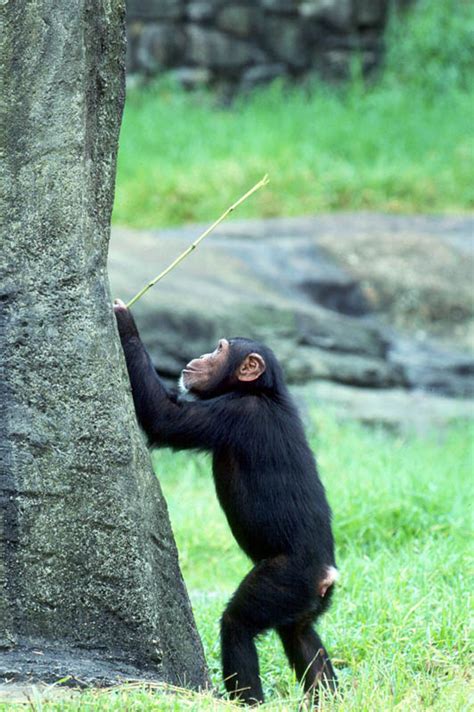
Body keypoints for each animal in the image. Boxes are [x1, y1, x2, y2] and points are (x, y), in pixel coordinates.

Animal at [113, 298, 338, 704]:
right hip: (306, 601)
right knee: (301, 637)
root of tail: (327, 573)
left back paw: (247, 700)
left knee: (238, 625)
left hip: (285, 580)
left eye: (219, 349)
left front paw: (126, 320)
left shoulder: (234, 411)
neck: (263, 393)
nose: (201, 354)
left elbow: (165, 416)